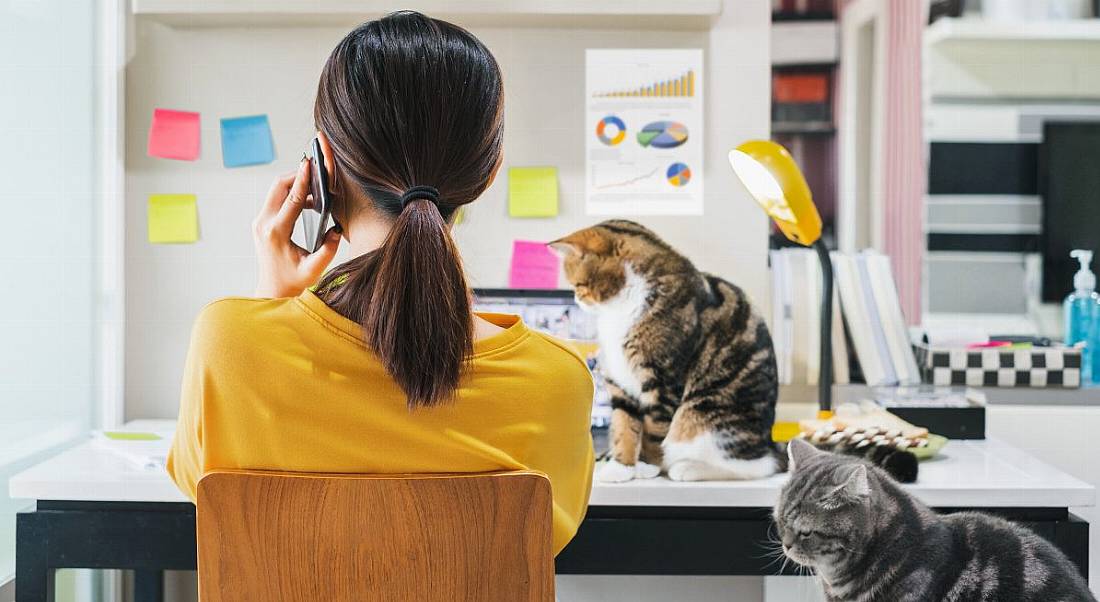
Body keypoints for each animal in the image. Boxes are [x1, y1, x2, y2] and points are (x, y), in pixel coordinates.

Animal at [554, 219, 778, 482]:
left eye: (579, 285)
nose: (576, 299)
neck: (619, 310)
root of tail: (769, 441)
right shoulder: (620, 381)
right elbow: (623, 425)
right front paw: (621, 467)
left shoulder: (662, 379)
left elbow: (653, 428)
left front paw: (647, 465)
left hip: (703, 415)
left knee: (758, 466)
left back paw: (687, 468)